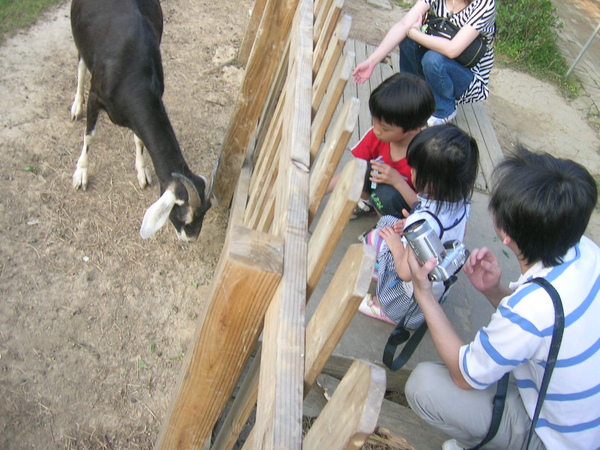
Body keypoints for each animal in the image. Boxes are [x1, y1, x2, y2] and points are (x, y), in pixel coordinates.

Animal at [69, 0, 213, 243]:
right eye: (181, 215)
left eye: (205, 212)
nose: (190, 239)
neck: (133, 74)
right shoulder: (96, 97)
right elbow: (90, 136)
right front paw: (81, 173)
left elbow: (139, 139)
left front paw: (142, 171)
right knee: (80, 65)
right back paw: (76, 106)